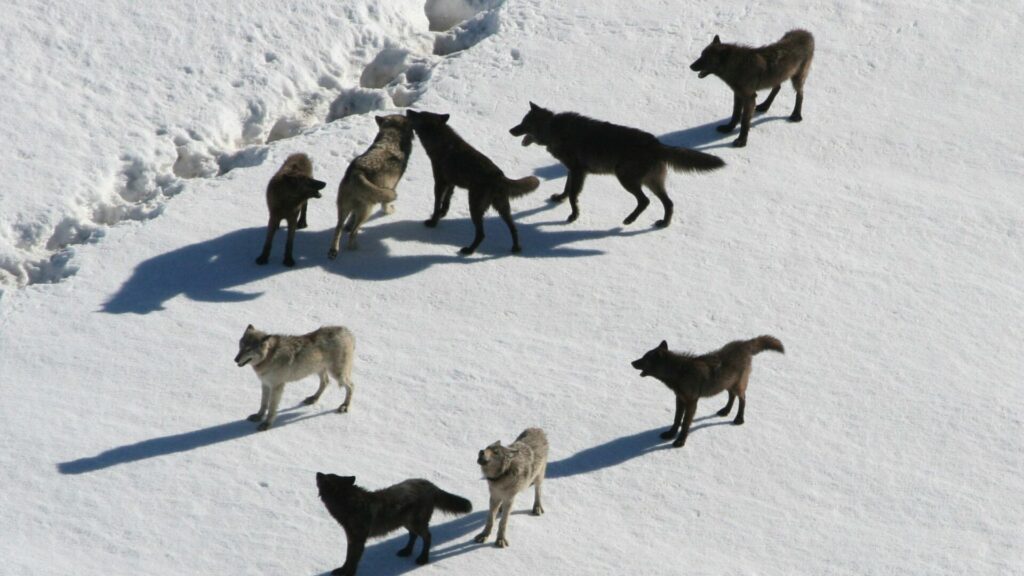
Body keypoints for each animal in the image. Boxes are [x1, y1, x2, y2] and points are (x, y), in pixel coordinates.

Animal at [315, 471, 471, 573]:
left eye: (325, 478)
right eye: (328, 474)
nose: (317, 472)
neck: (349, 504)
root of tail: (430, 485)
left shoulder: (357, 540)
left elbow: (352, 559)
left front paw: (347, 573)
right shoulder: (351, 538)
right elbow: (348, 558)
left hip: (416, 523)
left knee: (428, 537)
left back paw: (422, 559)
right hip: (406, 523)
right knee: (413, 535)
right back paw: (406, 551)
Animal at [323, 113, 411, 256]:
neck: (391, 137)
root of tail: (357, 172)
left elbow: (350, 221)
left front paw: (348, 225)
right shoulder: (391, 187)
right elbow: (385, 206)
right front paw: (389, 211)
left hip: (343, 208)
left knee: (338, 228)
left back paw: (334, 251)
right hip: (367, 210)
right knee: (353, 232)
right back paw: (356, 249)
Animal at [403, 109, 540, 253]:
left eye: (419, 115)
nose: (408, 110)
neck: (443, 145)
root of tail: (499, 176)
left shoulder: (440, 182)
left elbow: (436, 204)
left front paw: (433, 222)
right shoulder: (451, 183)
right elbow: (446, 203)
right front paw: (442, 214)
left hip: (475, 206)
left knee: (482, 234)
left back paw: (468, 250)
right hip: (502, 208)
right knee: (513, 228)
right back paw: (515, 248)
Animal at [507, 103, 724, 226]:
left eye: (524, 124)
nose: (510, 130)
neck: (553, 129)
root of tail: (657, 144)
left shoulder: (578, 171)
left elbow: (574, 196)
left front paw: (573, 216)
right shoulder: (573, 171)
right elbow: (567, 190)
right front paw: (559, 199)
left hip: (625, 178)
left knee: (645, 201)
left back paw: (629, 220)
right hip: (652, 182)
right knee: (668, 203)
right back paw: (663, 223)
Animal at [630, 334, 782, 446]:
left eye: (644, 358)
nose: (632, 362)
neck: (680, 372)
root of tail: (744, 343)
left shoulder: (692, 401)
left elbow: (685, 423)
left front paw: (680, 441)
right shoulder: (679, 399)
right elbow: (676, 420)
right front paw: (670, 434)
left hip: (737, 386)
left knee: (743, 399)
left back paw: (739, 419)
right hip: (727, 384)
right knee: (732, 397)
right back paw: (725, 411)